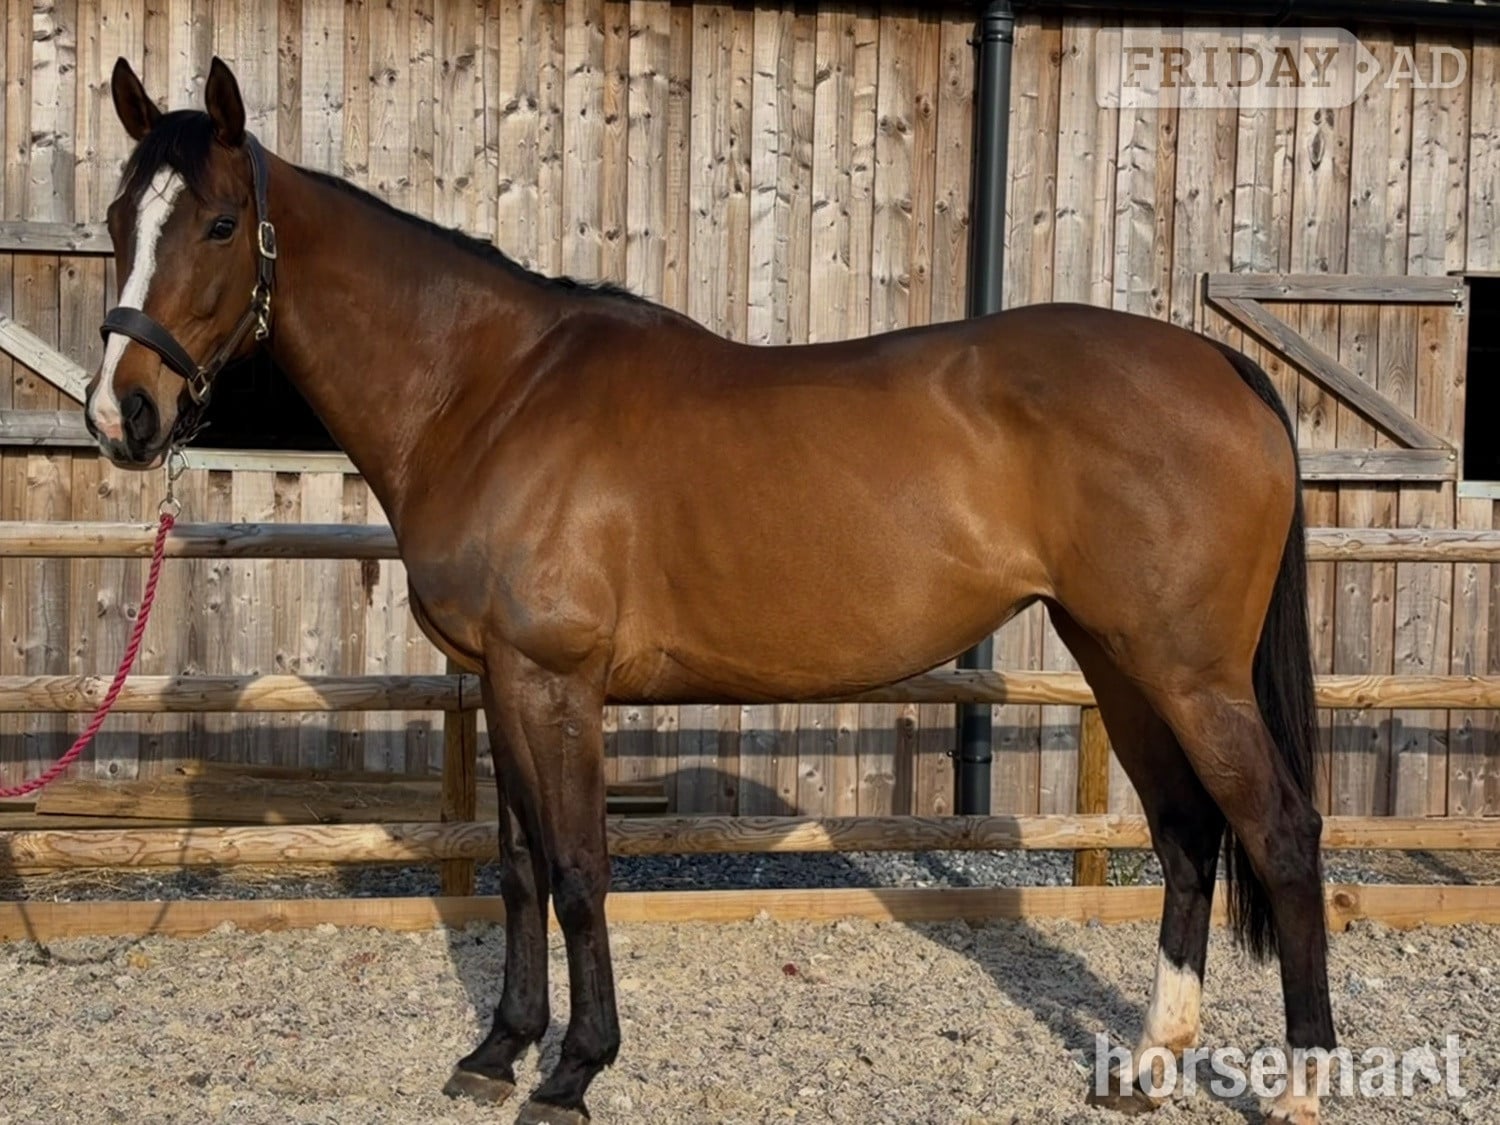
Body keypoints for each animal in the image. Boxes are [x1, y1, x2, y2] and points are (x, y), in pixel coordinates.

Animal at [83, 56, 1334, 1125]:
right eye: (115, 221)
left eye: (220, 223)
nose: (121, 414)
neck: (488, 393)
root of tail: (1219, 361)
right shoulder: (501, 683)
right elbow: (520, 868)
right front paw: (499, 1050)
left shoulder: (555, 683)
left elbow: (581, 870)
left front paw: (574, 1069)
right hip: (1119, 658)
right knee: (1186, 834)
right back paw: (1148, 1066)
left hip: (1187, 672)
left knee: (1278, 829)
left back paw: (1301, 1081)